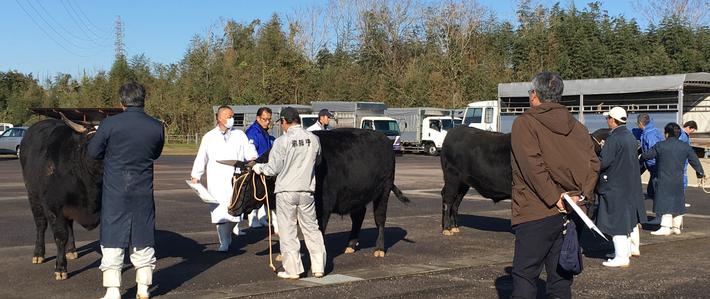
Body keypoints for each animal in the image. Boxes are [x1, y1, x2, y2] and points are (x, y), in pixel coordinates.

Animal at [19, 117, 101, 282]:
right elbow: (60, 236)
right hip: (34, 197)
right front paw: (61, 268)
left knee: (69, 225)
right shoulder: (54, 207)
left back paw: (71, 250)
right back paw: (38, 254)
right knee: (41, 225)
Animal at [235, 129, 412, 258]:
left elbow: (317, 231)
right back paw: (350, 245)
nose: (232, 208)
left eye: (247, 186)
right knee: (358, 216)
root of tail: (385, 139)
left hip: (383, 191)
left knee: (380, 219)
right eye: (233, 183)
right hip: (355, 196)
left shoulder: (322, 208)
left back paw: (379, 249)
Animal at [440, 125, 612, 236]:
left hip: (463, 182)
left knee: (456, 201)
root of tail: (453, 131)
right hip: (452, 177)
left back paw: (455, 226)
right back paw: (446, 228)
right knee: (448, 199)